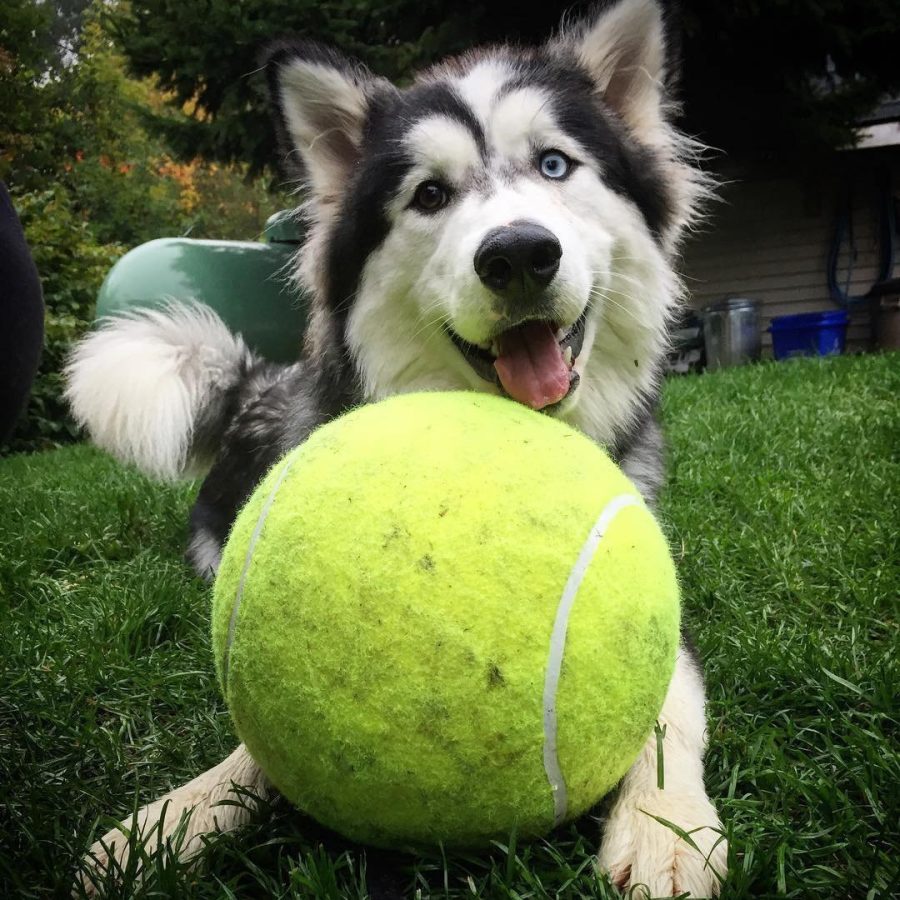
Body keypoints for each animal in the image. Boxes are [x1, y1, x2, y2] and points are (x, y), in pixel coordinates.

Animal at [72, 0, 732, 892]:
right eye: (430, 194)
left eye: (555, 164)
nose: (518, 253)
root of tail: (262, 386)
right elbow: (252, 747)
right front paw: (172, 818)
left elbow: (669, 706)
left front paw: (667, 828)